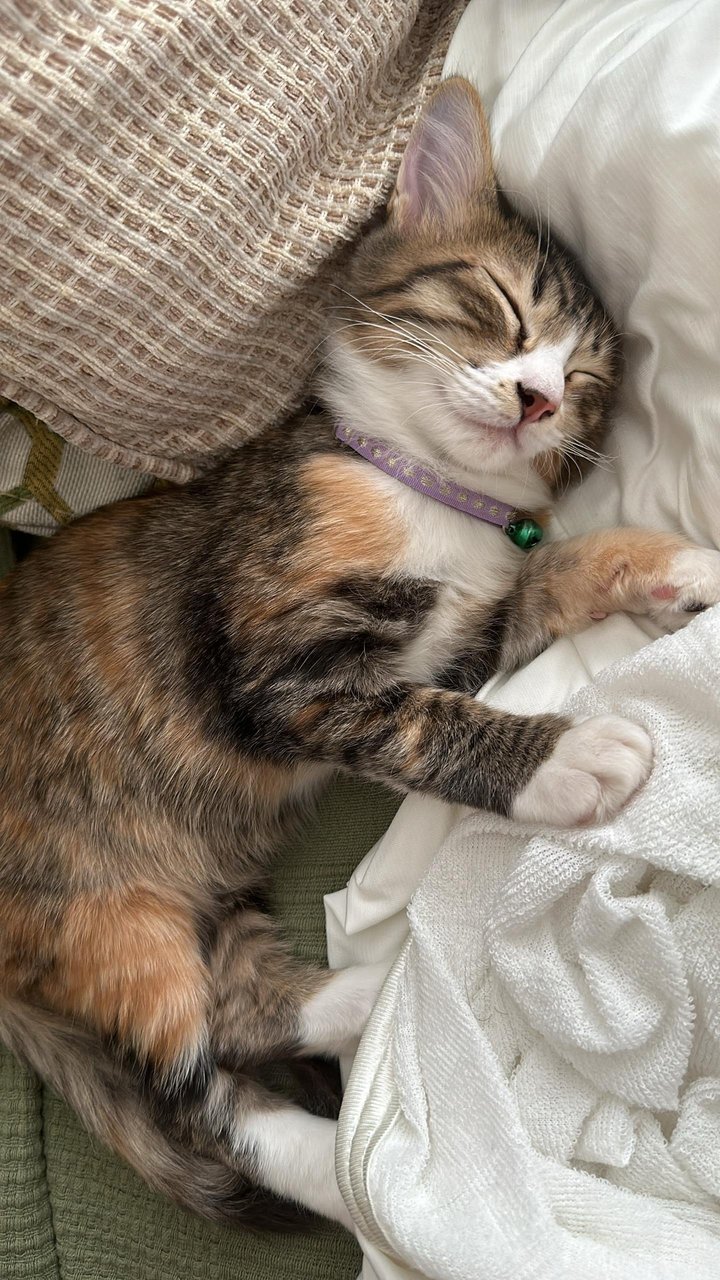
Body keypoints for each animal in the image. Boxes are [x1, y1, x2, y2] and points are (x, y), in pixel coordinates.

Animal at [1, 77, 717, 1228]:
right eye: (501, 307)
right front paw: (568, 758)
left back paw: (380, 999)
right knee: (200, 1092)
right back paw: (344, 1174)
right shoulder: (281, 669)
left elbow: (552, 576)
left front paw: (675, 564)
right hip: (102, 918)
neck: (417, 487)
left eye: (586, 375)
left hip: (199, 898)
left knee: (241, 1010)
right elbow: (423, 722)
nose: (538, 399)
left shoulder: (463, 635)